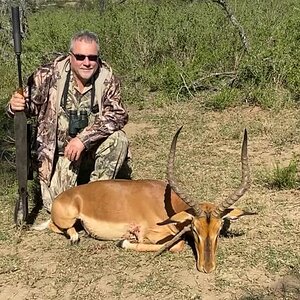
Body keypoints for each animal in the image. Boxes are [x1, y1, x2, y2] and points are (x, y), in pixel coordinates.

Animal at [34, 126, 255, 272]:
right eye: (195, 229)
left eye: (218, 230)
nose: (207, 267)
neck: (168, 206)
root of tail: (62, 197)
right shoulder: (154, 233)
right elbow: (176, 245)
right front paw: (125, 241)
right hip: (68, 219)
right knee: (56, 226)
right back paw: (75, 238)